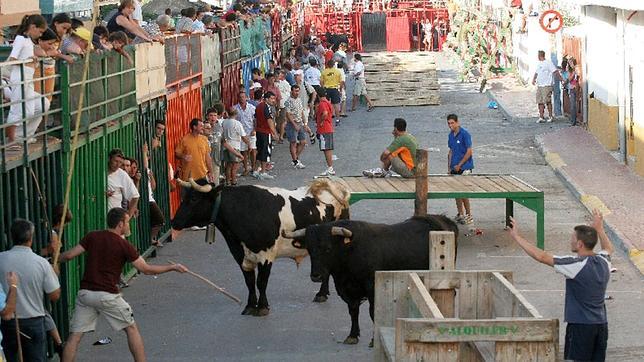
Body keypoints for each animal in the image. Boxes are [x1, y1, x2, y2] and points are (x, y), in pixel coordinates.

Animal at [171, 178, 350, 316]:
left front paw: (263, 307)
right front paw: (250, 306)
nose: (174, 222)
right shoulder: (240, 255)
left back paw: (321, 293)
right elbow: (249, 281)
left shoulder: (266, 255)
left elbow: (261, 281)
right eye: (184, 197)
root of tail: (334, 183)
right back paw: (322, 294)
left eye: (194, 199)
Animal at [284, 215, 458, 346]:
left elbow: (373, 312)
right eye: (309, 249)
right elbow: (353, 311)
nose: (316, 276)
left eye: (328, 248)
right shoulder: (348, 290)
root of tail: (441, 219)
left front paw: (374, 340)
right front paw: (352, 335)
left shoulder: (372, 288)